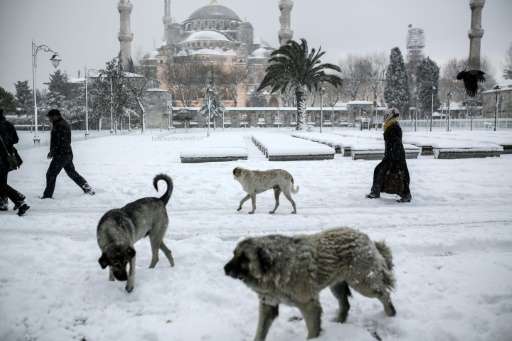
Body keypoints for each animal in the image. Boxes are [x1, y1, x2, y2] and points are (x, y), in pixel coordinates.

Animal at [224, 226, 396, 340]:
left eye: (244, 258)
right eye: (234, 254)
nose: (225, 269)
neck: (274, 268)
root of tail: (365, 237)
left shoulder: (309, 305)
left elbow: (312, 332)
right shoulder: (268, 306)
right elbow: (260, 333)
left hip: (363, 284)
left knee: (384, 294)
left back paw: (390, 314)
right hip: (337, 284)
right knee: (345, 304)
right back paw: (339, 322)